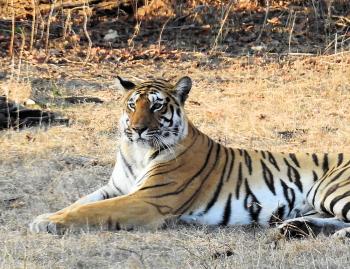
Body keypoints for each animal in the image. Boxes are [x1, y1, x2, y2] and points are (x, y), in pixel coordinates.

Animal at [28, 75, 350, 237]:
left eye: (157, 106)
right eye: (132, 105)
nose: (137, 129)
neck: (137, 151)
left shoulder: (147, 200)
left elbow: (90, 210)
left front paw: (46, 223)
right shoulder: (116, 188)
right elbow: (80, 202)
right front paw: (45, 216)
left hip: (328, 190)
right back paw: (297, 227)